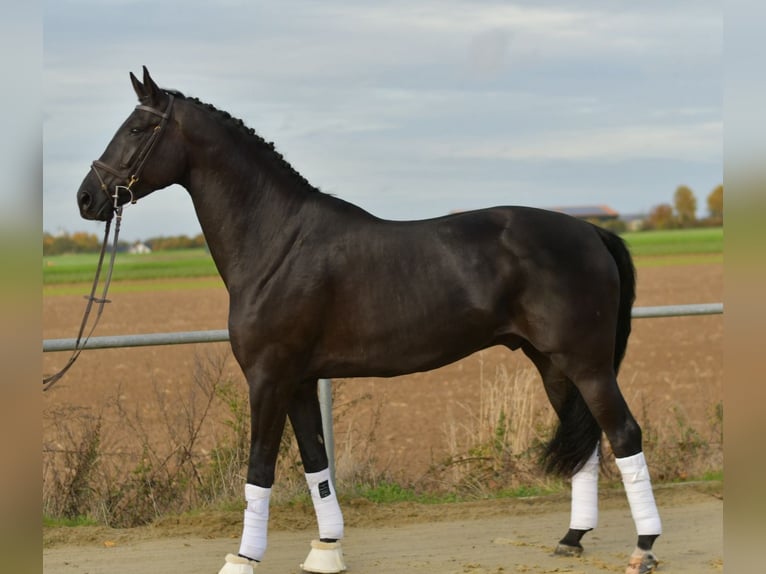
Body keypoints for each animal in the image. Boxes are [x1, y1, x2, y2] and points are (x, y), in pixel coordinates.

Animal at [76, 67, 661, 574]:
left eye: (138, 128)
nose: (87, 197)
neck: (276, 241)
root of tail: (592, 232)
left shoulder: (268, 378)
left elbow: (259, 468)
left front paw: (242, 558)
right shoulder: (299, 380)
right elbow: (315, 463)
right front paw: (326, 549)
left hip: (586, 364)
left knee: (624, 433)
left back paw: (644, 547)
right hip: (553, 365)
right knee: (589, 442)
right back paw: (572, 539)